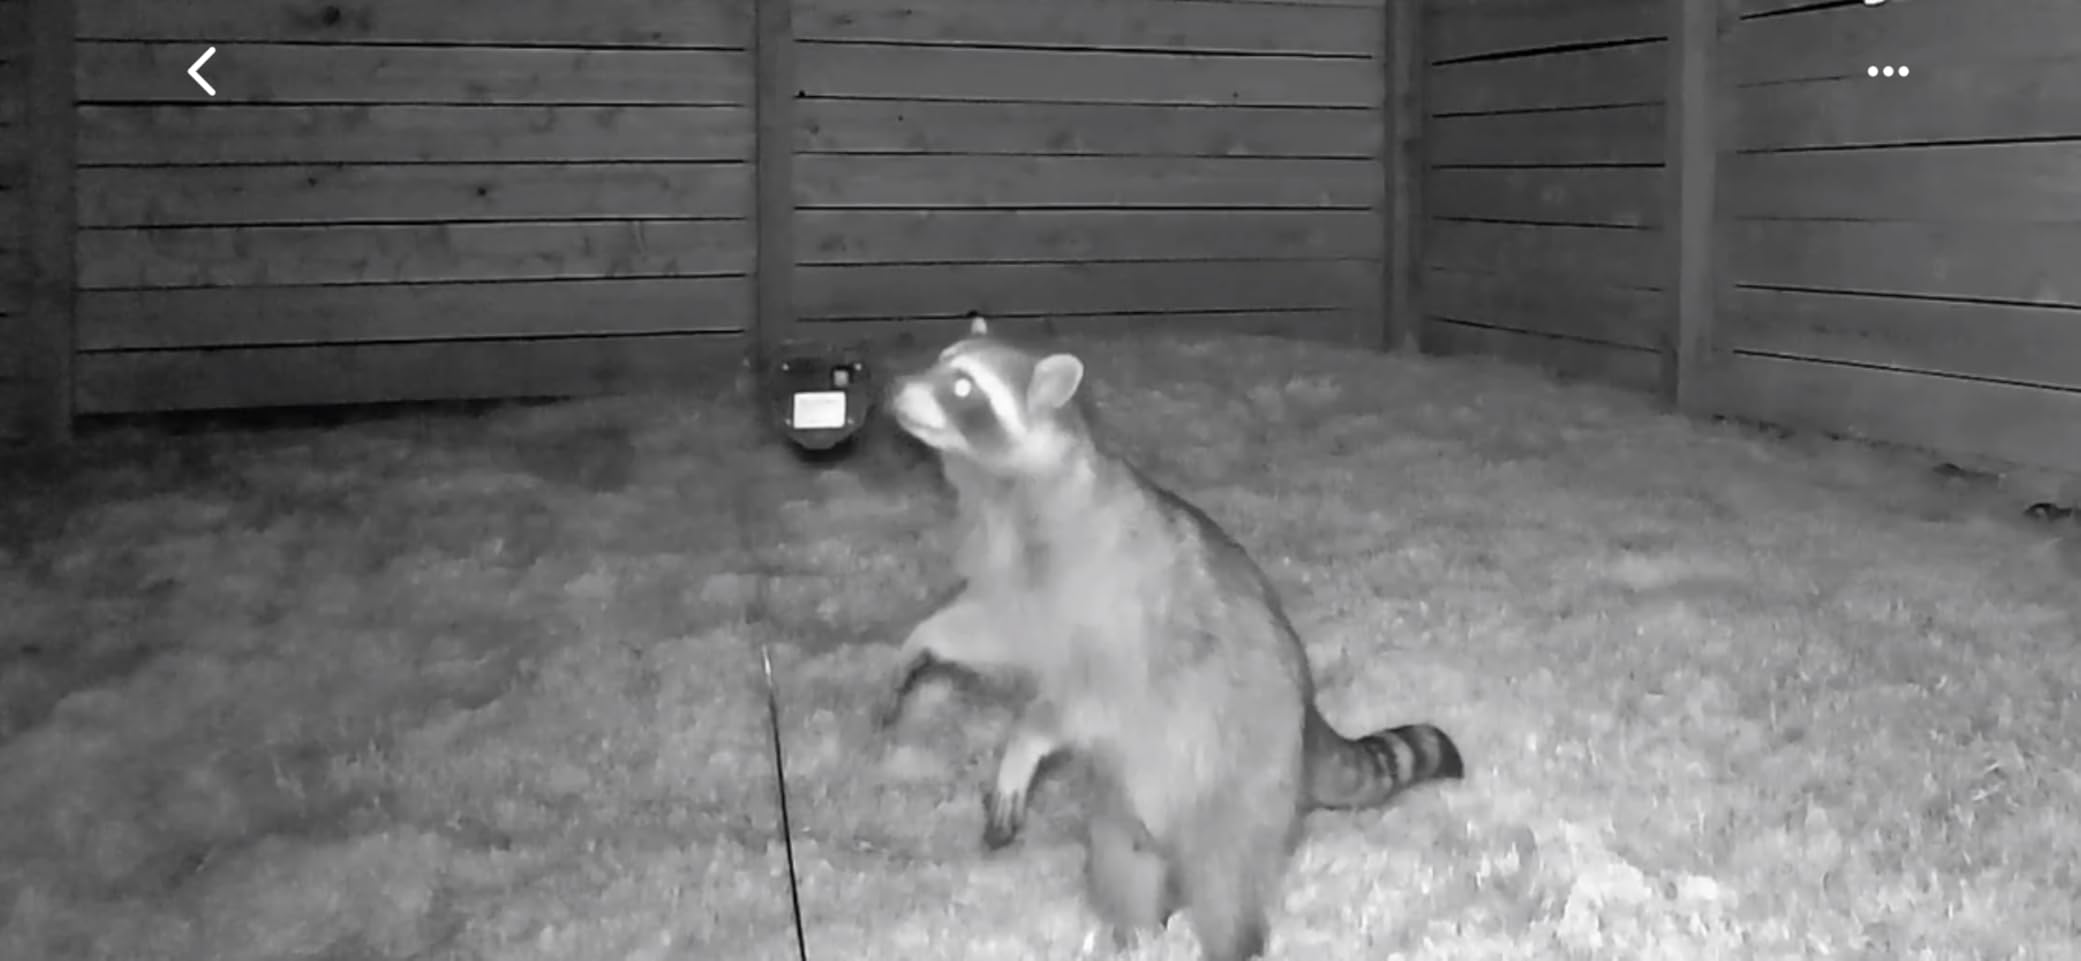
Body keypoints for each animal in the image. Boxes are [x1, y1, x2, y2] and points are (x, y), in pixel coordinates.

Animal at [876, 314, 1464, 960]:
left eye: (962, 387)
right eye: (939, 362)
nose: (893, 387)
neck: (1004, 487)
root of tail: (1307, 720)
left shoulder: (1113, 604)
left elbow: (1080, 699)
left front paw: (1025, 740)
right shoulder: (1017, 587)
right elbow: (990, 631)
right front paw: (921, 642)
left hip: (1242, 781)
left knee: (1226, 881)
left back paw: (1228, 940)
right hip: (1128, 808)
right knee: (1125, 863)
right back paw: (1132, 934)